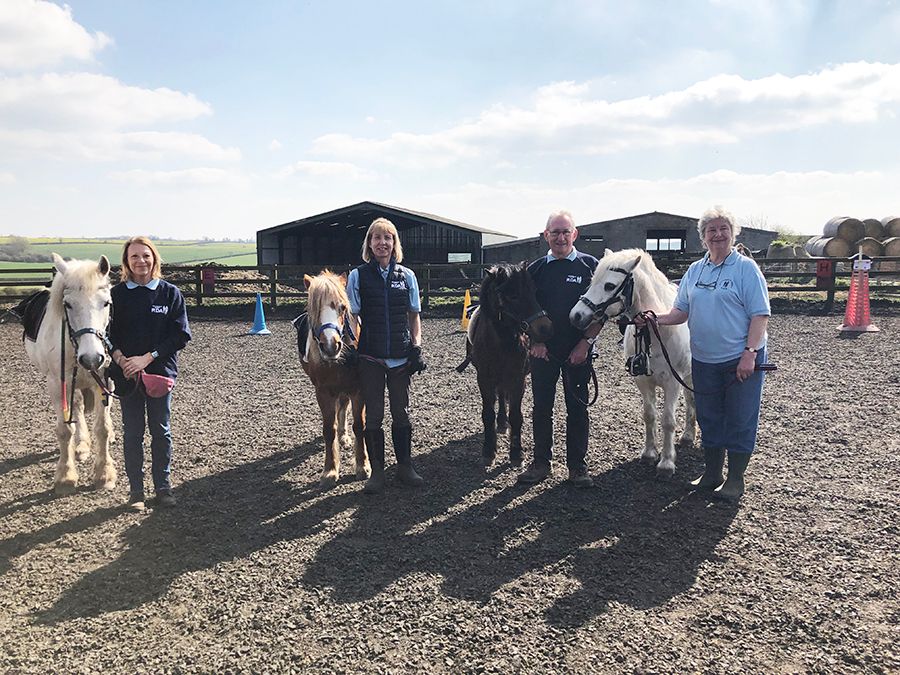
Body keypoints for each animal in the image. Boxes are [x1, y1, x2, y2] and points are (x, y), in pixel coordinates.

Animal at [24, 254, 116, 496]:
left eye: (106, 303)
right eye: (68, 304)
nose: (92, 359)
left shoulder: (105, 381)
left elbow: (102, 428)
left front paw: (104, 474)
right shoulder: (58, 384)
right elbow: (65, 429)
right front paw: (65, 476)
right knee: (78, 407)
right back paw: (81, 445)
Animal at [296, 272, 366, 488]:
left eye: (342, 307)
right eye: (314, 308)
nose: (330, 346)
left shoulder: (358, 389)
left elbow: (359, 426)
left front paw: (362, 466)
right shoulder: (323, 392)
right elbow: (329, 429)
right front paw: (330, 470)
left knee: (343, 406)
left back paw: (344, 436)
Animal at [464, 266, 556, 470]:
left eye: (534, 290)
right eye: (513, 296)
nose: (546, 328)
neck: (501, 341)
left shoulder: (517, 379)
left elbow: (516, 416)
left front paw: (516, 454)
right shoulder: (484, 379)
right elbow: (488, 414)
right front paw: (489, 452)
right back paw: (500, 423)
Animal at [568, 248, 696, 476]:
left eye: (609, 285)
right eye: (592, 281)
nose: (576, 315)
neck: (657, 332)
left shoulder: (672, 382)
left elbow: (668, 421)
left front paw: (666, 463)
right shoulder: (643, 381)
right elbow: (649, 415)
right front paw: (649, 454)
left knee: (693, 401)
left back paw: (690, 436)